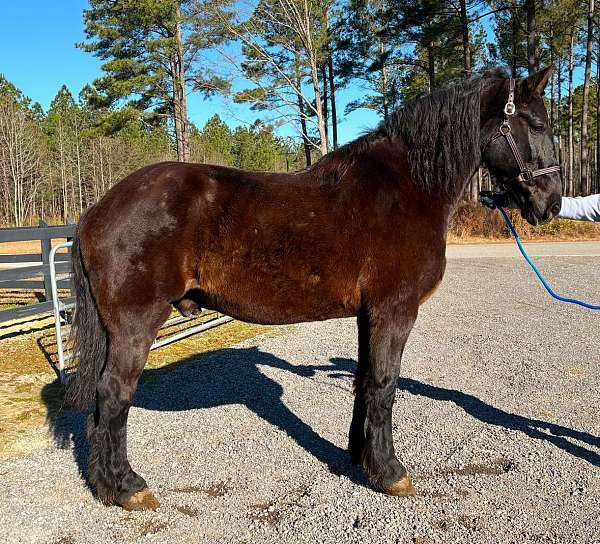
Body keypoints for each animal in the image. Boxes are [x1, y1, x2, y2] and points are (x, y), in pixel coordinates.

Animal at [65, 67, 564, 510]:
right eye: (538, 124)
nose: (553, 203)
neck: (406, 186)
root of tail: (96, 211)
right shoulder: (395, 310)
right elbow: (385, 383)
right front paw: (390, 474)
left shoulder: (368, 315)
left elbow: (365, 380)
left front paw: (359, 458)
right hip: (135, 325)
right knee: (114, 396)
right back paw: (128, 487)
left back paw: (107, 485)